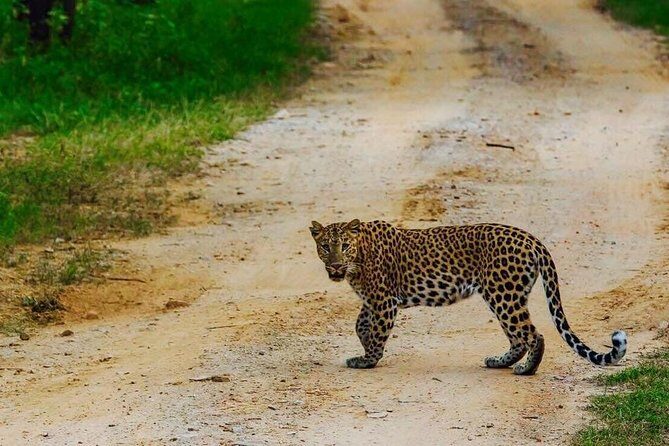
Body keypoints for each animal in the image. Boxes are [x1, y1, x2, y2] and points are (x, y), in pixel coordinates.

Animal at [309, 219, 627, 375]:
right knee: (517, 337)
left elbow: (376, 331)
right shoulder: (371, 300)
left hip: (503, 294)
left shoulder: (383, 300)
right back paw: (500, 361)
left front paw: (368, 360)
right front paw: (365, 349)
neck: (358, 258)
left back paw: (525, 370)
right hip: (505, 294)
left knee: (532, 334)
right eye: (325, 247)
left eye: (344, 246)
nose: (335, 266)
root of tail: (533, 239)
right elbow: (361, 325)